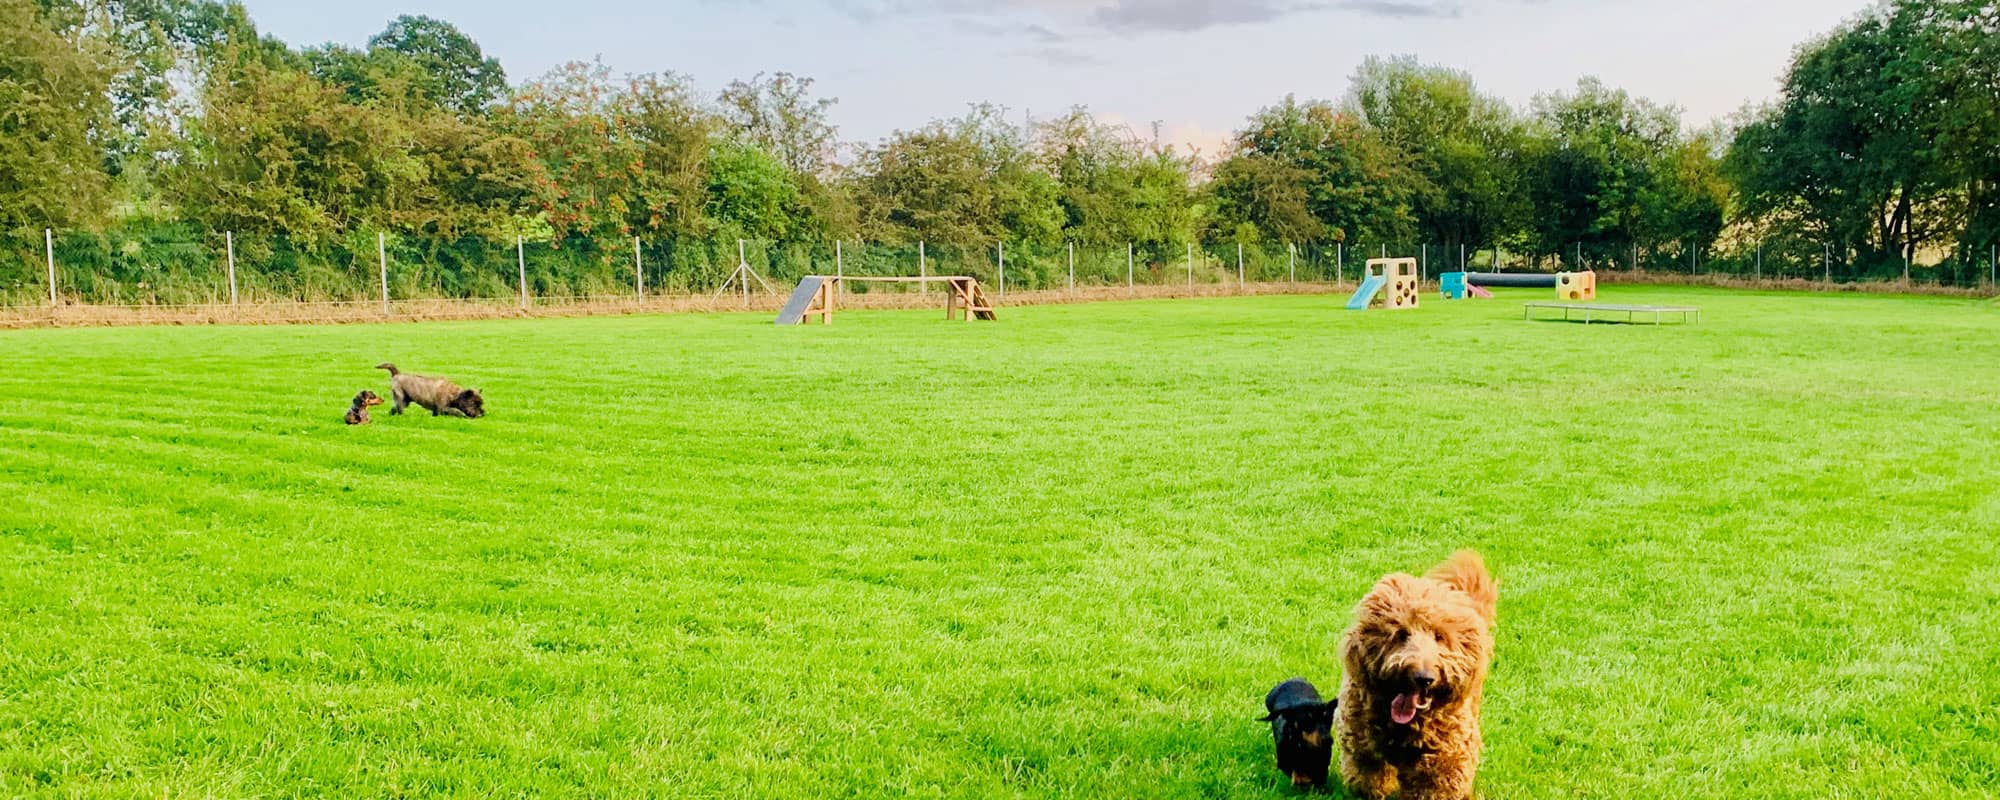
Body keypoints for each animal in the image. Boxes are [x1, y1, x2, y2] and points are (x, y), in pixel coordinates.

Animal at [1344, 552, 1504, 800]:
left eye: (1440, 636)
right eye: (1401, 634)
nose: (1423, 677)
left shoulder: (1443, 763)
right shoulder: (1362, 745)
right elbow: (1370, 778)